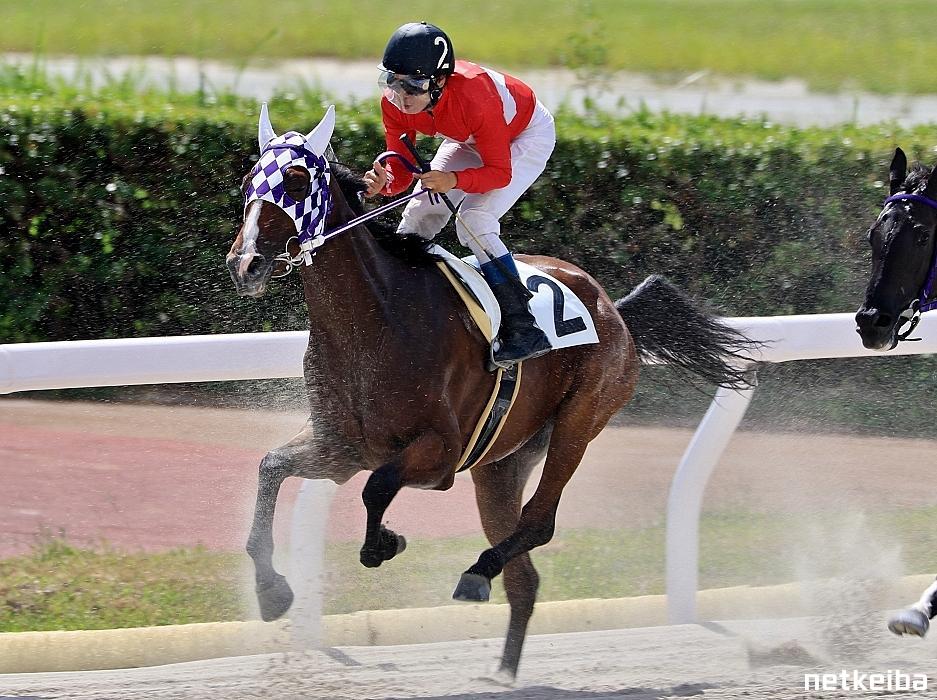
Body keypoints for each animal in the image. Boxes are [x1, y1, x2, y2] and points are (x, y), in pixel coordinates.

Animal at [226, 104, 755, 678]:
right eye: (249, 180)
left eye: (297, 181)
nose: (245, 263)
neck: (375, 320)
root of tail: (615, 309)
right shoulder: (341, 446)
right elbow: (271, 468)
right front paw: (273, 592)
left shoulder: (440, 453)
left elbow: (377, 486)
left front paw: (384, 543)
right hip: (501, 464)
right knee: (525, 579)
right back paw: (502, 667)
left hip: (579, 422)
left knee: (539, 521)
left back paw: (478, 573)